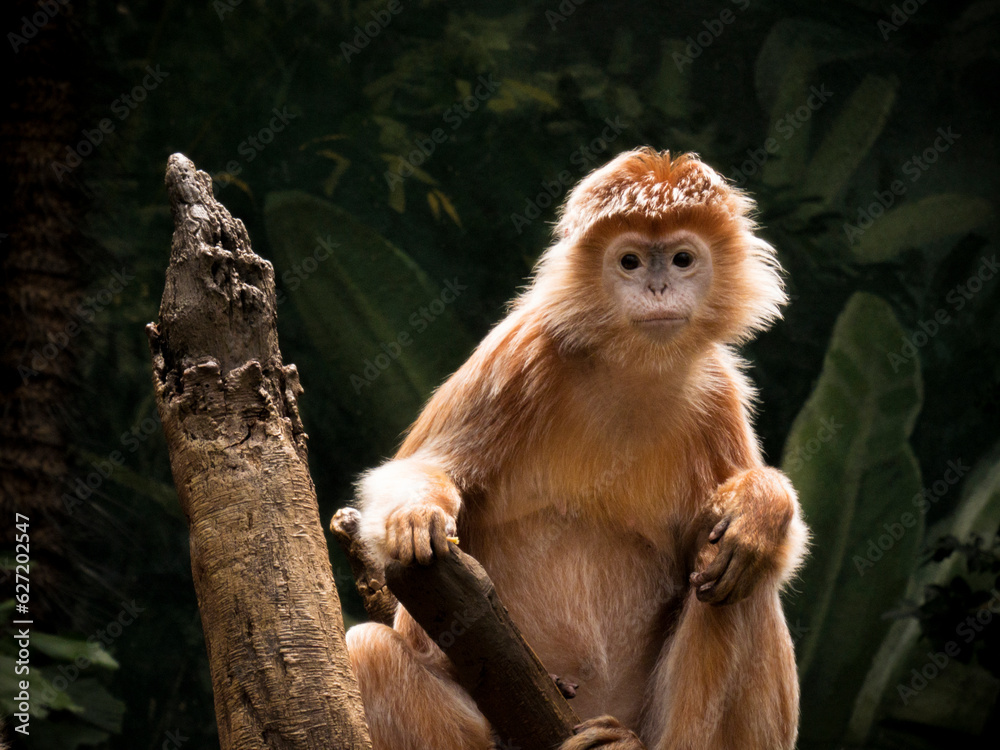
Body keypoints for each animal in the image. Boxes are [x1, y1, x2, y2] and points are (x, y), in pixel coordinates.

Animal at [345, 148, 809, 750]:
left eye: (682, 259)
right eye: (630, 262)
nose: (658, 290)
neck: (629, 369)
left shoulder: (719, 393)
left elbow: (736, 540)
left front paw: (762, 505)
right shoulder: (518, 351)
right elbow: (424, 468)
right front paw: (416, 514)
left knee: (745, 576)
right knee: (368, 650)